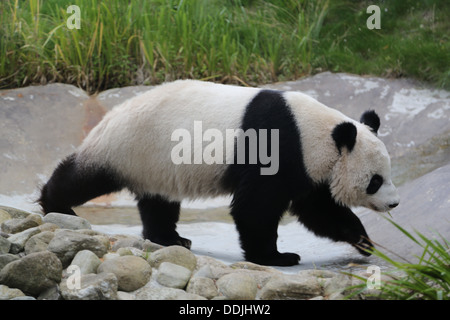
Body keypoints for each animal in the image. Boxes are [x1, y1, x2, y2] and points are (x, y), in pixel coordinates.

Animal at [37, 79, 400, 264]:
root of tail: (109, 115)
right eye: (375, 181)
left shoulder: (308, 166)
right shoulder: (278, 145)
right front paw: (276, 257)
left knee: (158, 201)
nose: (394, 203)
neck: (315, 131)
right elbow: (256, 207)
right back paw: (54, 204)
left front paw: (363, 241)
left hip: (154, 163)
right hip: (130, 146)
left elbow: (318, 210)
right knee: (85, 177)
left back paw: (170, 238)